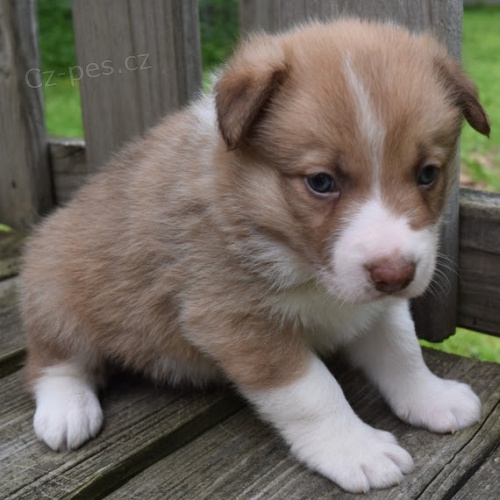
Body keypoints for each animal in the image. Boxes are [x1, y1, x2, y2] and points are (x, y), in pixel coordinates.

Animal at [19, 18, 488, 492]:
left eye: (428, 174)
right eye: (320, 182)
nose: (394, 274)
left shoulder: (374, 306)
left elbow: (402, 350)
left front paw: (433, 398)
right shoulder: (237, 322)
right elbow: (313, 391)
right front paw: (357, 450)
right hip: (55, 294)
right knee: (52, 361)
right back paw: (67, 412)